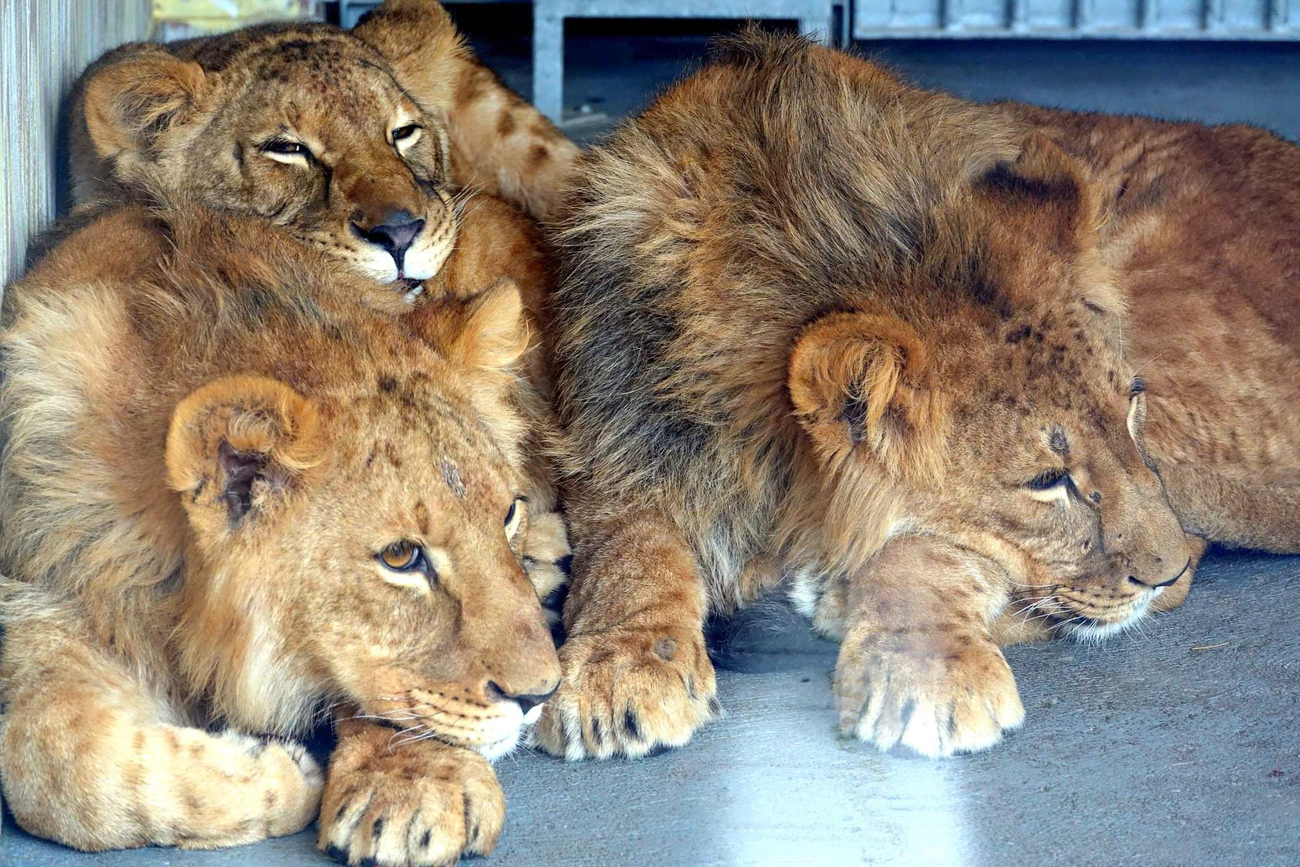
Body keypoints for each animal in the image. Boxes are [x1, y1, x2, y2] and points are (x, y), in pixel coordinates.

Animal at [0, 193, 569, 863]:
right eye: (401, 558)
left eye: (507, 513)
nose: (541, 695)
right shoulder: (44, 589)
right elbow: (61, 768)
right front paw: (280, 777)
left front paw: (413, 785)